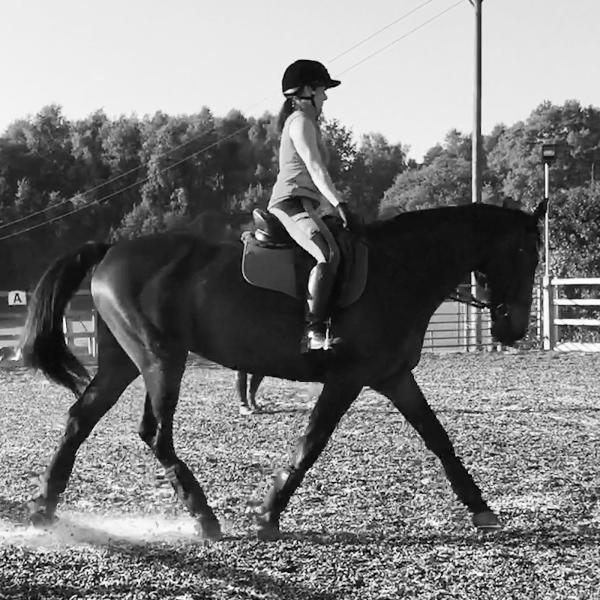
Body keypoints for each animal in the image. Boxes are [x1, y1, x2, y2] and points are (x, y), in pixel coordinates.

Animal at [19, 200, 544, 540]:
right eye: (526, 253)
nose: (516, 328)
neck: (400, 269)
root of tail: (111, 249)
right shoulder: (348, 378)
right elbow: (311, 443)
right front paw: (269, 515)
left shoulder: (393, 376)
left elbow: (438, 437)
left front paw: (481, 508)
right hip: (160, 360)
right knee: (155, 434)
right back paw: (204, 518)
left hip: (122, 363)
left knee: (80, 419)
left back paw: (44, 509)